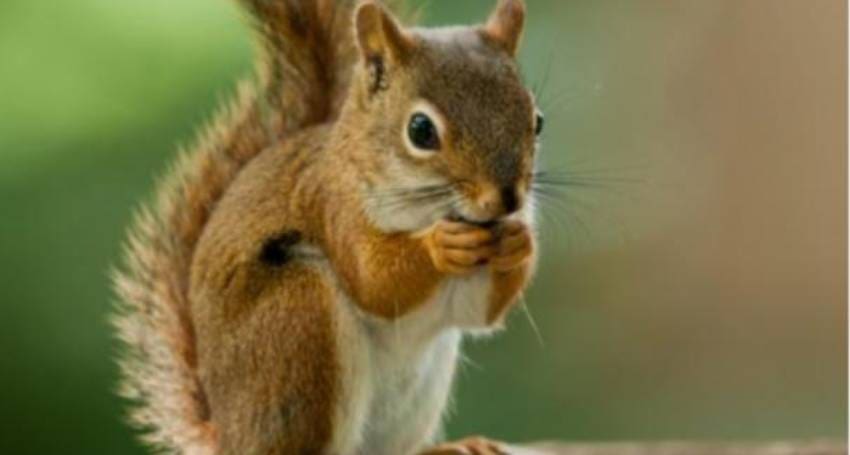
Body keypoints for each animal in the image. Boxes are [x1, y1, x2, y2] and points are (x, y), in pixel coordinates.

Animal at [113, 0, 543, 454]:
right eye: (421, 130)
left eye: (537, 120)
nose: (508, 200)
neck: (430, 210)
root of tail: (230, 436)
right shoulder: (334, 208)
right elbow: (375, 281)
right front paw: (440, 246)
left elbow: (479, 312)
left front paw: (519, 242)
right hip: (299, 322)